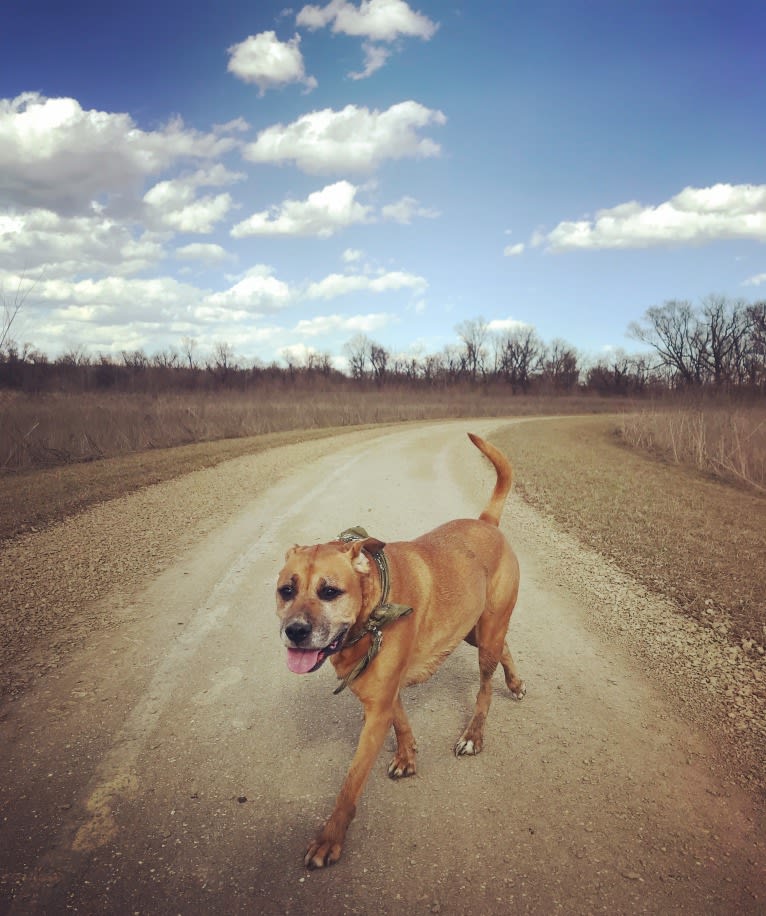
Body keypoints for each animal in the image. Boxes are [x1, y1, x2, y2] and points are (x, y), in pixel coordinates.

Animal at [278, 432, 528, 868]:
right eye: (286, 591)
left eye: (330, 591)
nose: (295, 631)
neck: (373, 608)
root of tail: (486, 523)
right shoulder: (381, 691)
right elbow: (401, 721)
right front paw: (408, 756)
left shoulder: (375, 709)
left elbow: (351, 782)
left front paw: (330, 838)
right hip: (476, 630)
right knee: (504, 649)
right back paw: (513, 682)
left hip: (485, 637)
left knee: (484, 687)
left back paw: (474, 734)